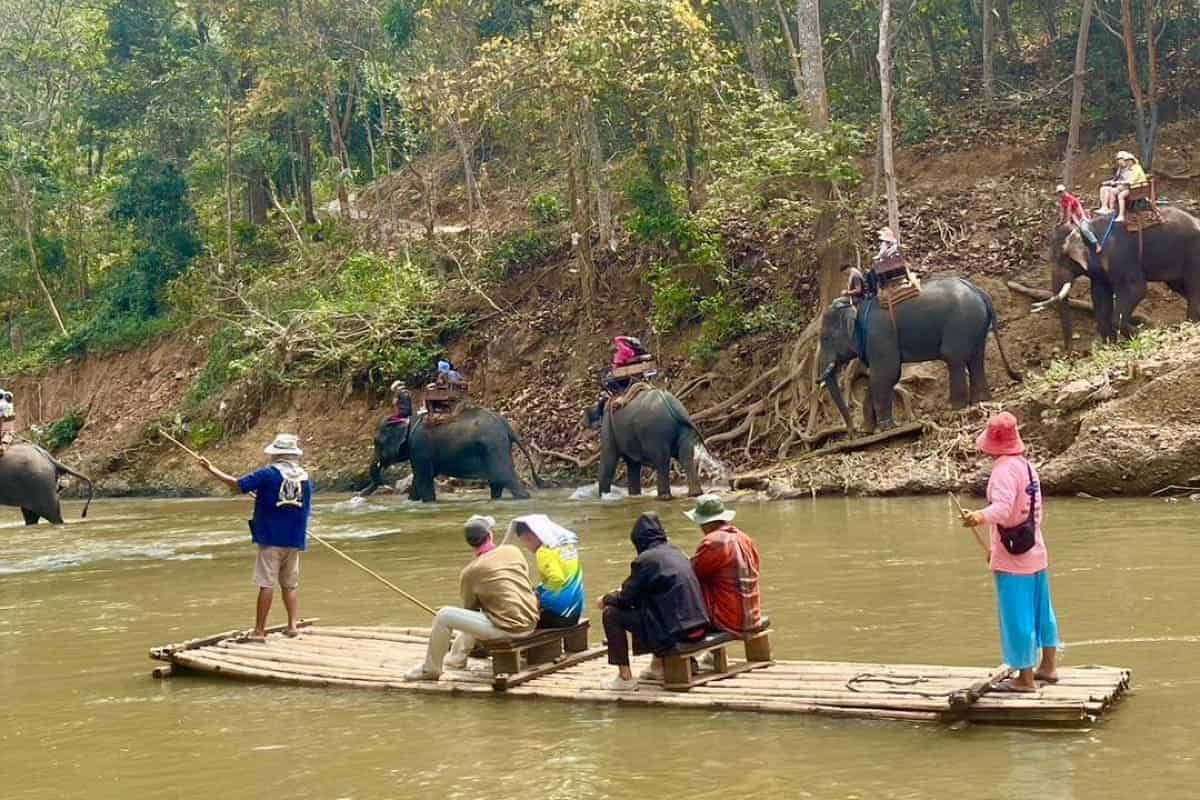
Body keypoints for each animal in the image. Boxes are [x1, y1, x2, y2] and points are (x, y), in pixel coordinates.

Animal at [358, 406, 543, 502]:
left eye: (377, 442)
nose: (361, 494)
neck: (408, 420)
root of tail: (507, 427)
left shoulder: (419, 447)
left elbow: (423, 478)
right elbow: (419, 480)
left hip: (494, 447)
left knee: (505, 478)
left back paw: (523, 497)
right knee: (497, 482)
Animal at [583, 388, 713, 500]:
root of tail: (671, 404)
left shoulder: (608, 427)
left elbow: (609, 461)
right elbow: (633, 464)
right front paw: (634, 496)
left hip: (655, 431)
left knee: (661, 460)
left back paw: (663, 497)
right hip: (681, 429)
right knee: (685, 456)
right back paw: (695, 494)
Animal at [816, 277, 1022, 432]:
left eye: (825, 338)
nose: (853, 431)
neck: (856, 305)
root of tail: (979, 291)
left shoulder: (879, 335)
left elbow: (886, 374)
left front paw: (886, 428)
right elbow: (877, 378)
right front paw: (870, 430)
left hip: (960, 322)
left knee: (954, 357)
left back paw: (955, 409)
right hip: (976, 325)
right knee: (976, 358)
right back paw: (981, 401)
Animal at [1042, 207, 1200, 347]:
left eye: (1062, 258)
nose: (1070, 353)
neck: (1085, 229)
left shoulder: (1120, 256)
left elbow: (1136, 289)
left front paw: (1139, 336)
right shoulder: (1100, 272)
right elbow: (1100, 298)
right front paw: (1111, 346)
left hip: (1193, 254)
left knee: (1193, 287)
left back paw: (1192, 322)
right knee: (1180, 286)